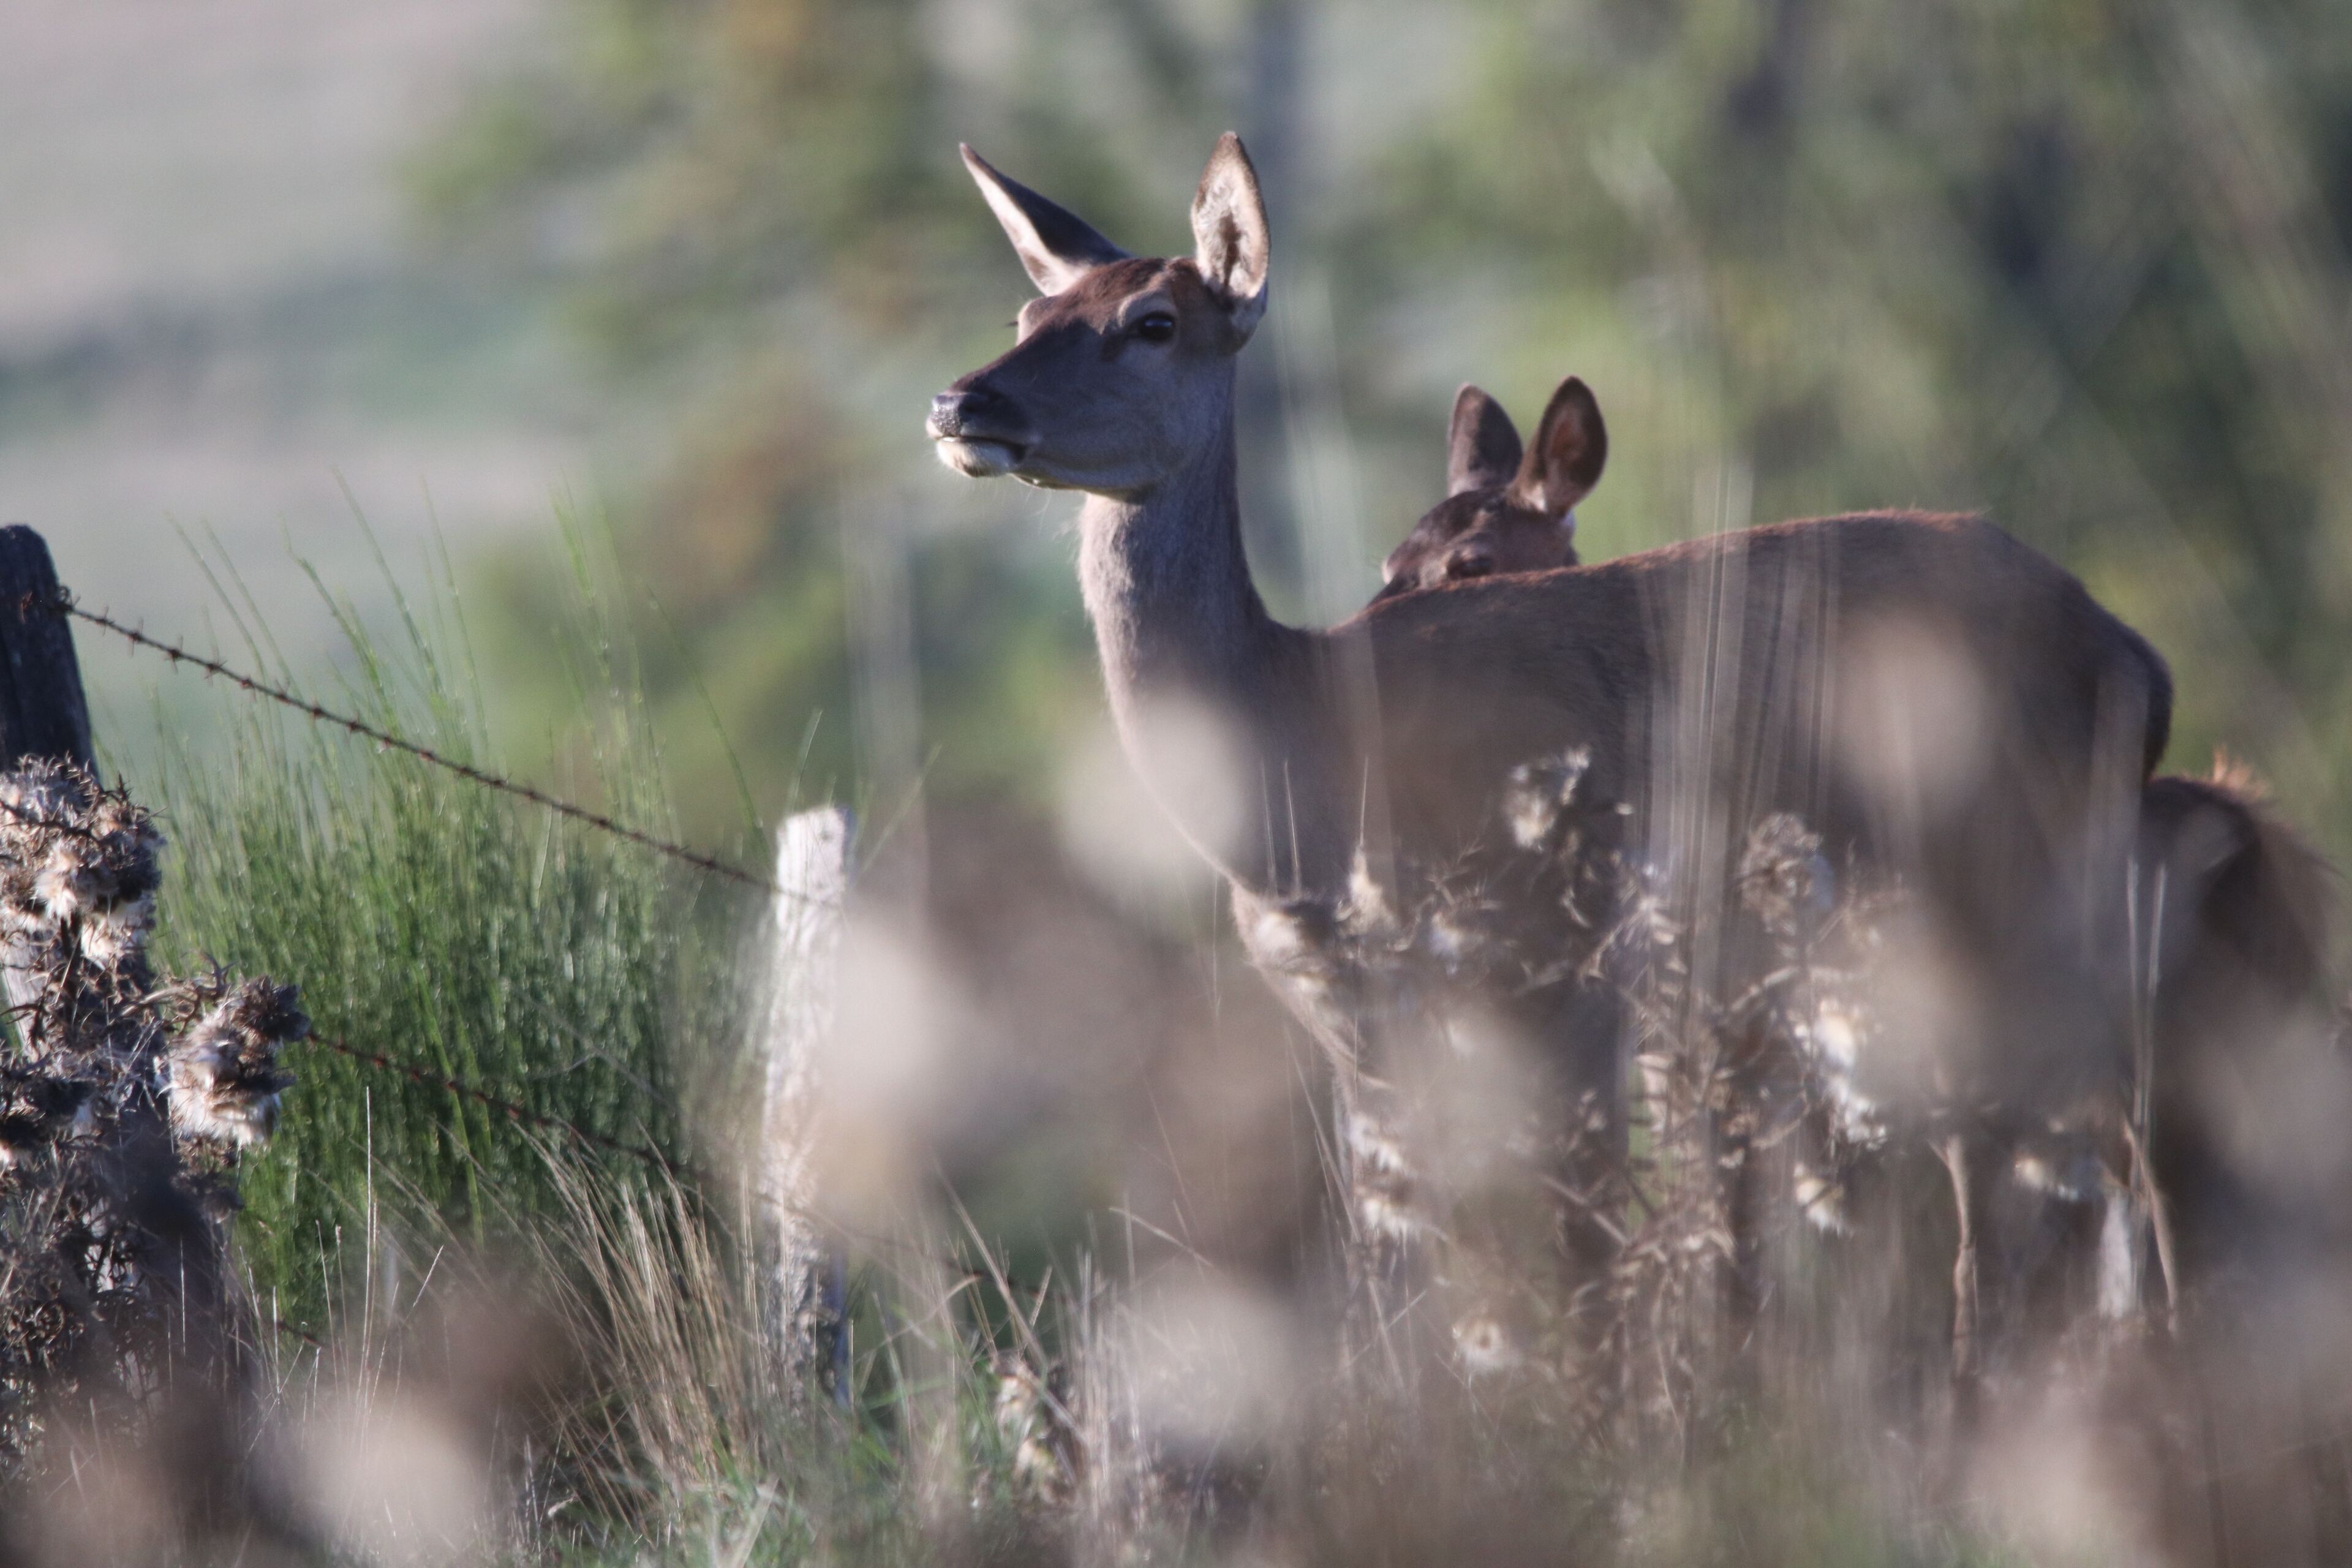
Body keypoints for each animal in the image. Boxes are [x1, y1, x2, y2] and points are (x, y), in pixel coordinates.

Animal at [927, 132, 2176, 1387]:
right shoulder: (1355, 1035)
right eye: (1028, 309)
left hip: (2011, 894)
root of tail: (2132, 652)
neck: (1311, 766)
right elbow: (1411, 1281)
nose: (960, 398)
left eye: (1152, 320)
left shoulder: (1558, 969)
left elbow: (1585, 1263)